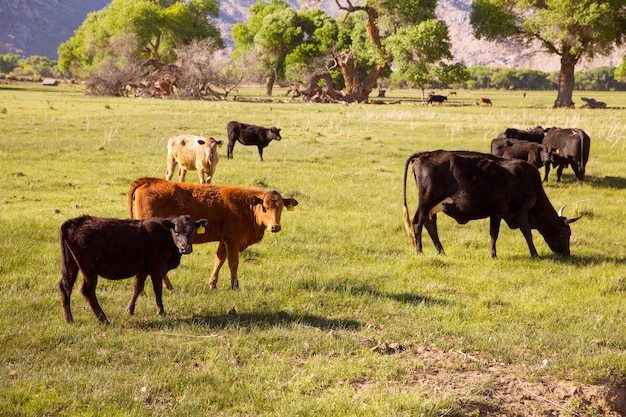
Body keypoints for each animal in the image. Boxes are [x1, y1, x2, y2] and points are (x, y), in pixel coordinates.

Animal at [58, 213, 206, 324]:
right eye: (177, 232)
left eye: (192, 231)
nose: (185, 248)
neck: (165, 236)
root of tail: (74, 221)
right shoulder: (156, 268)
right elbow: (157, 290)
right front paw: (161, 312)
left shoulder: (142, 270)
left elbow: (137, 288)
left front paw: (129, 310)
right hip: (89, 268)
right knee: (87, 290)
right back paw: (104, 319)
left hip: (71, 264)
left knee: (65, 286)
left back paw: (69, 319)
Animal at [127, 176, 298, 290]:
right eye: (264, 208)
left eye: (281, 207)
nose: (275, 227)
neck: (247, 207)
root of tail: (150, 181)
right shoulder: (232, 242)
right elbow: (233, 263)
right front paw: (235, 286)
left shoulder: (224, 240)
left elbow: (219, 260)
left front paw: (213, 284)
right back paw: (166, 286)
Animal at [402, 150, 576, 258]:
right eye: (564, 234)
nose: (567, 254)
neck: (529, 181)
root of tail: (427, 154)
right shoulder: (520, 211)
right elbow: (527, 233)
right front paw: (535, 254)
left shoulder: (497, 213)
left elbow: (494, 233)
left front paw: (493, 254)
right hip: (426, 201)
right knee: (417, 222)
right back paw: (419, 250)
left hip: (433, 206)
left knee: (430, 224)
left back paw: (441, 251)